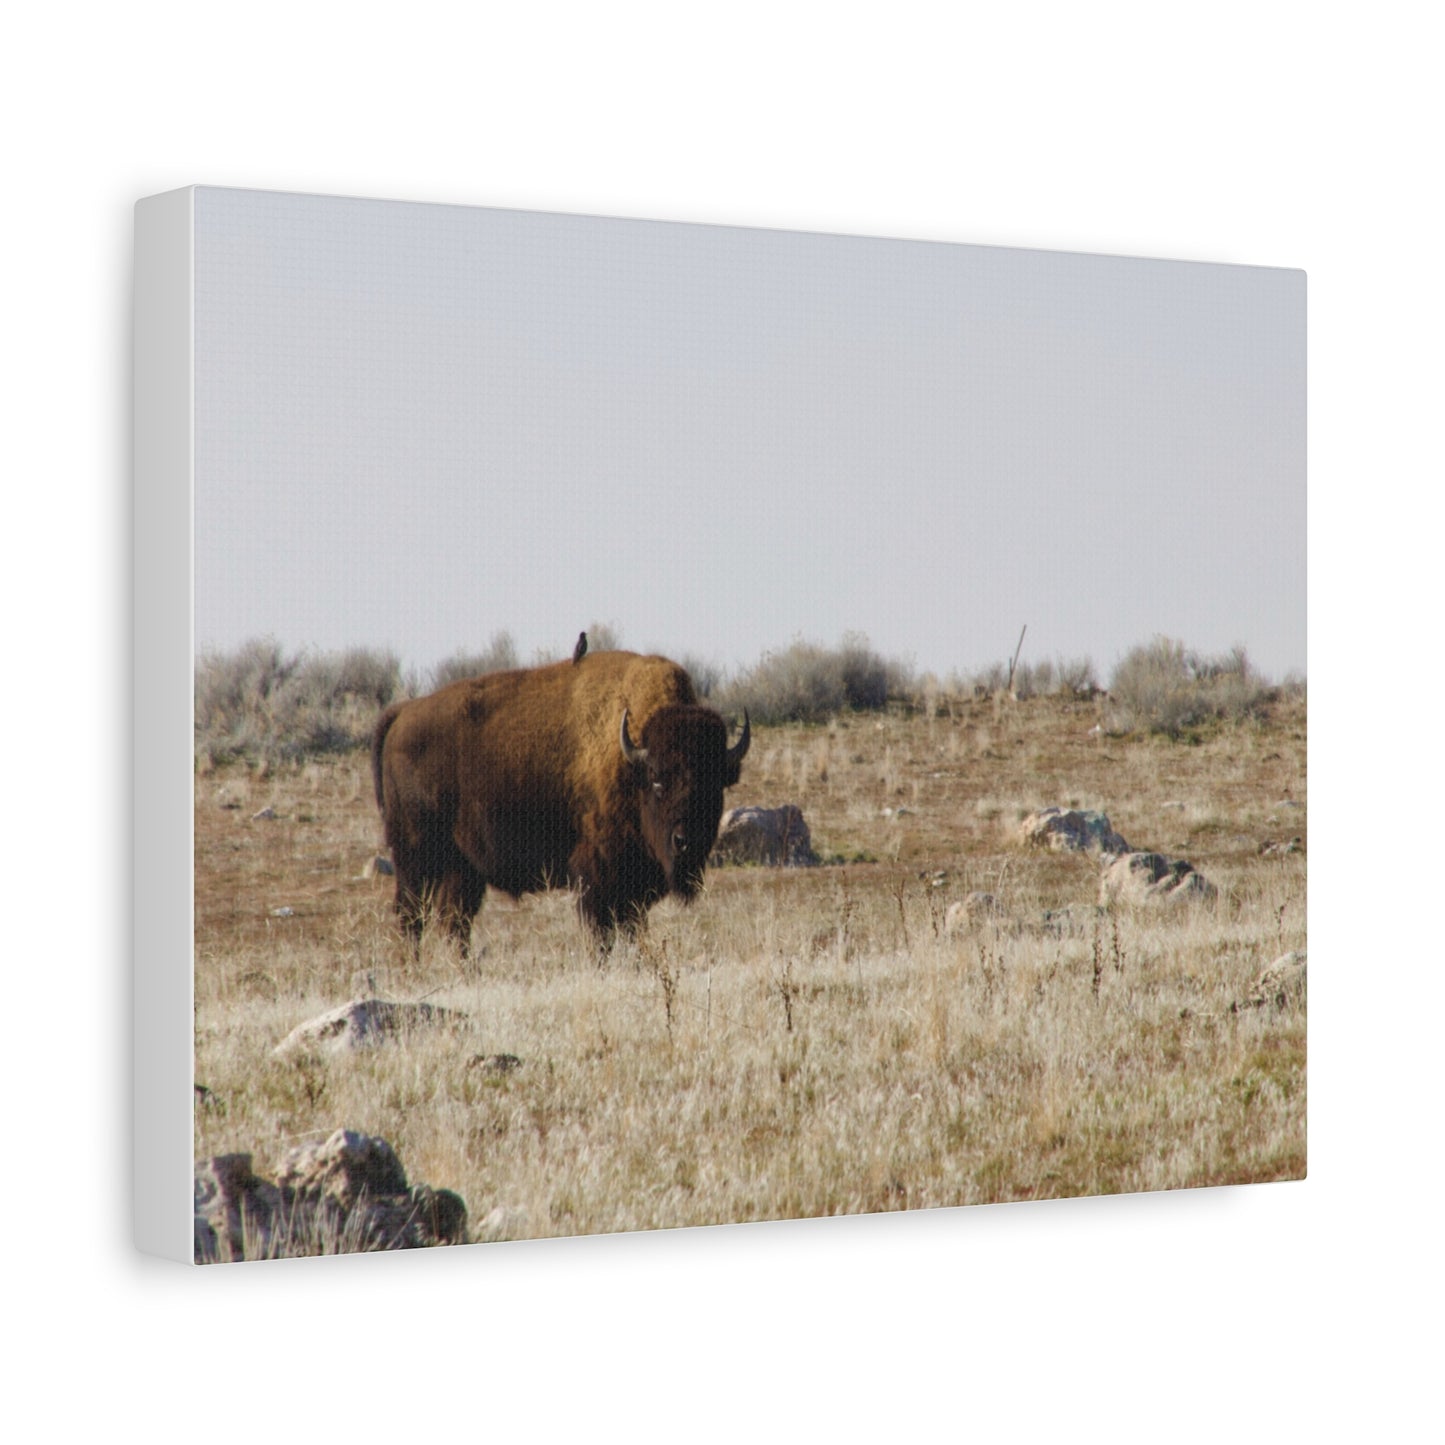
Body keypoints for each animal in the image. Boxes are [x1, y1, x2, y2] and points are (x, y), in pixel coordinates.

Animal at [371, 650, 749, 951]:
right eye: (657, 780)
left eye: (715, 783)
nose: (687, 841)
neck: (630, 761)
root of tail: (402, 713)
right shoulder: (597, 878)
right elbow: (602, 934)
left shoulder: (634, 890)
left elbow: (631, 930)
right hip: (415, 856)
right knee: (411, 916)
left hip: (461, 866)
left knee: (453, 921)